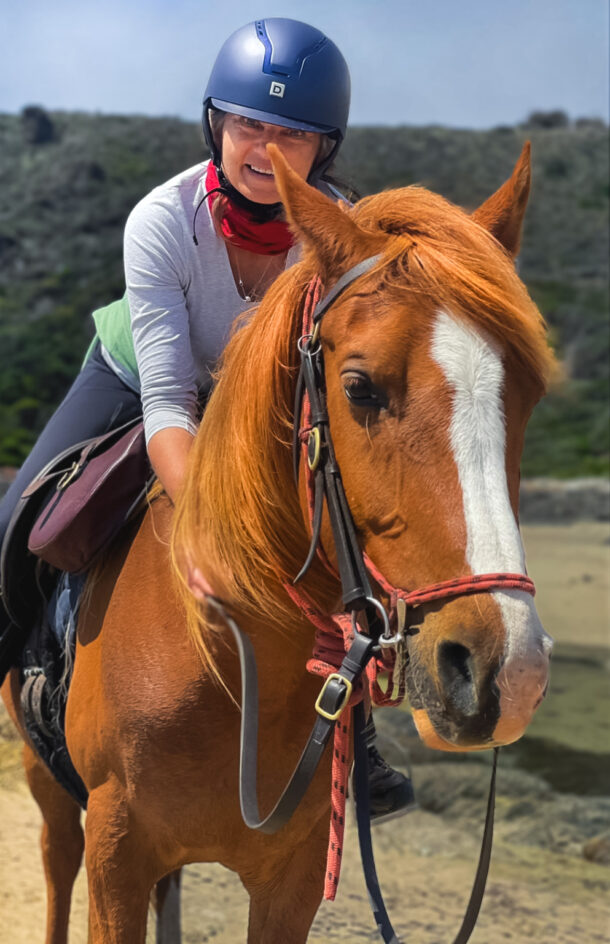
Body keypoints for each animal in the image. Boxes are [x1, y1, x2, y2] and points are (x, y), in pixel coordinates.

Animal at [1, 141, 555, 944]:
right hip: (48, 789)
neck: (229, 663)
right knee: (55, 868)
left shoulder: (290, 879)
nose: (506, 672)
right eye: (358, 388)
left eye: (528, 394)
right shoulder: (115, 854)